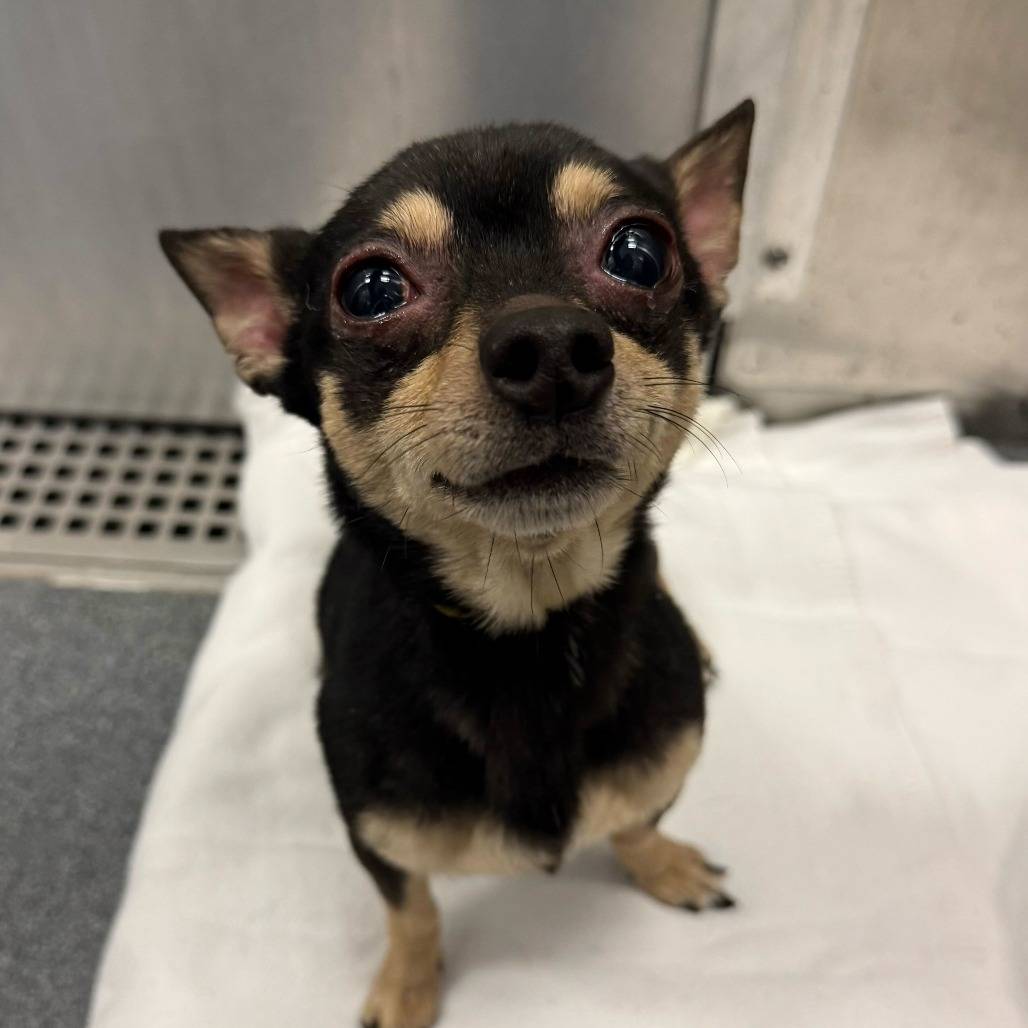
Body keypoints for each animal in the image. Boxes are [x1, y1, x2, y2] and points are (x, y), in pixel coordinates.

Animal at [160, 99, 754, 1028]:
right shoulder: (379, 835)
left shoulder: (665, 753)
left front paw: (665, 866)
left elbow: (638, 820)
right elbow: (413, 910)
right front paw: (408, 988)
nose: (551, 344)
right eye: (371, 290)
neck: (529, 629)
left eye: (639, 253)